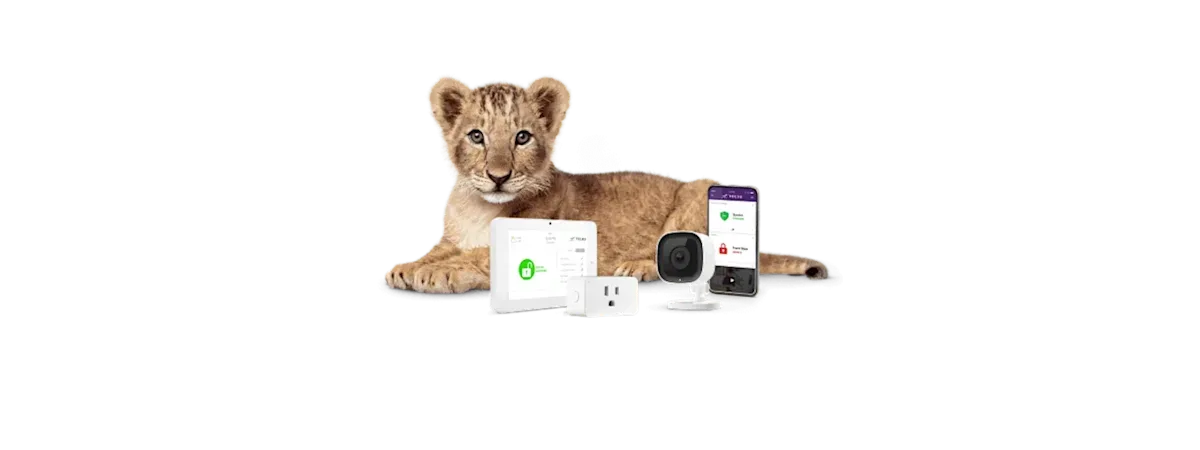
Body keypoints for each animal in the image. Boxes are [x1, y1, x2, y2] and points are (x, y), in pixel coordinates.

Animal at [384, 74, 829, 293]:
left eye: (522, 138)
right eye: (476, 136)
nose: (498, 177)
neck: (481, 207)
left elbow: (478, 257)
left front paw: (432, 275)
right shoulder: (449, 239)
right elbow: (439, 253)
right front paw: (407, 268)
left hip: (699, 188)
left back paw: (636, 267)